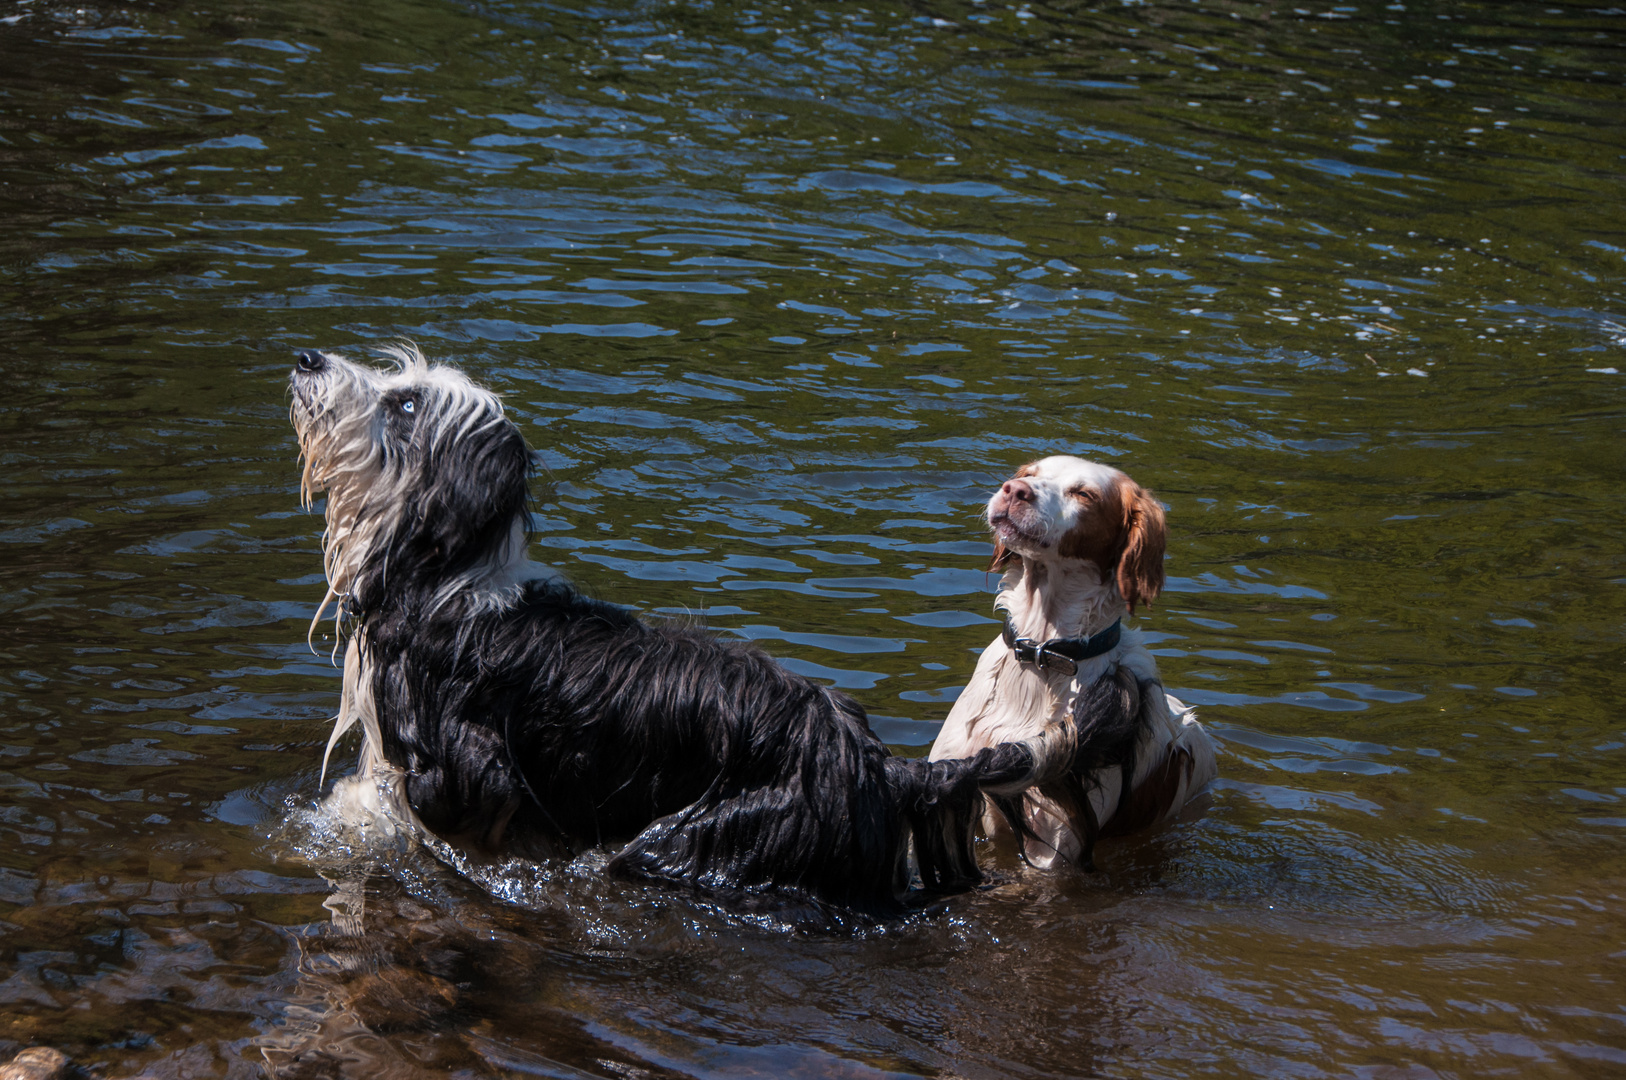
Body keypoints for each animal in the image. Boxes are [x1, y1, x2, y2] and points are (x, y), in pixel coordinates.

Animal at [289, 343, 1105, 910]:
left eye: (404, 406)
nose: (306, 359)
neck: (448, 579)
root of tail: (874, 763)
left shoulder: (472, 778)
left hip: (702, 839)